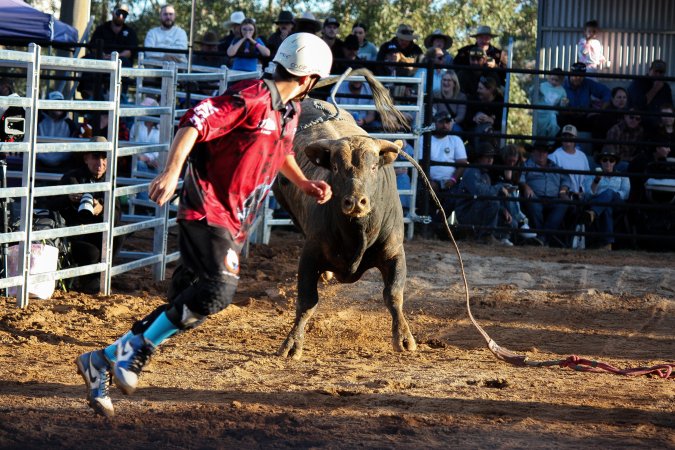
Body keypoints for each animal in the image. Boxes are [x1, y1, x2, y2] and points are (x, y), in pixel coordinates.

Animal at [273, 75, 417, 360]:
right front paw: (292, 342)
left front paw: (404, 338)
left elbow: (394, 295)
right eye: (337, 167)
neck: (356, 233)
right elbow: (307, 300)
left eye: (373, 167)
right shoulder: (311, 253)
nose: (355, 201)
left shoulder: (394, 251)